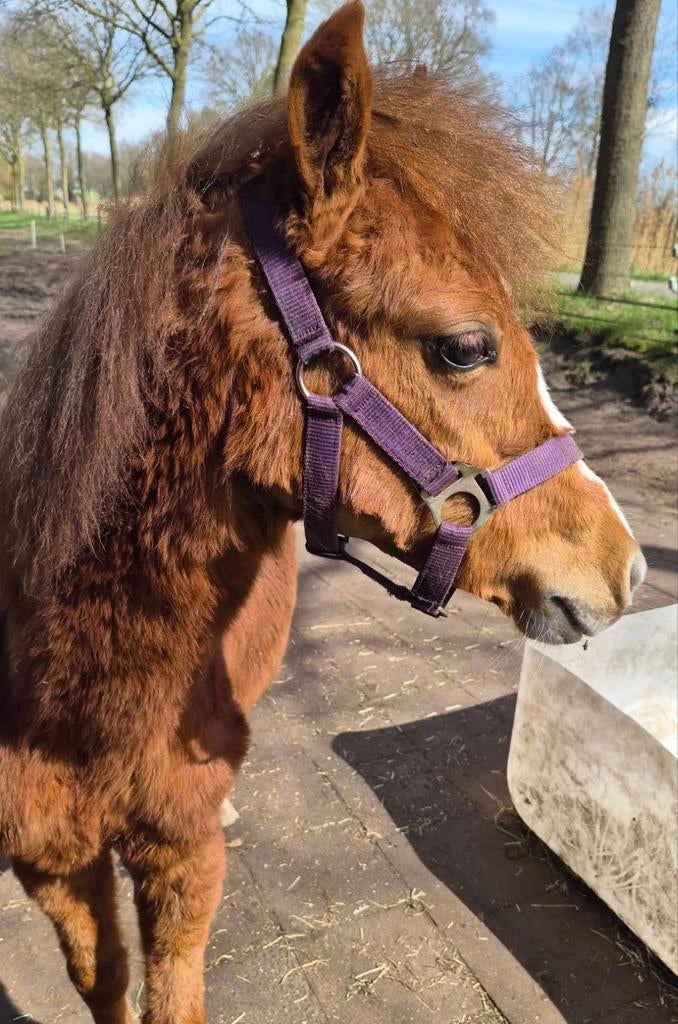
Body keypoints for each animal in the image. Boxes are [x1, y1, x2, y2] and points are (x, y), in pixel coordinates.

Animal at [0, 3, 645, 1021]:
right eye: (464, 346)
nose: (627, 567)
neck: (83, 689)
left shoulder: (182, 857)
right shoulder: (50, 861)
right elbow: (100, 982)